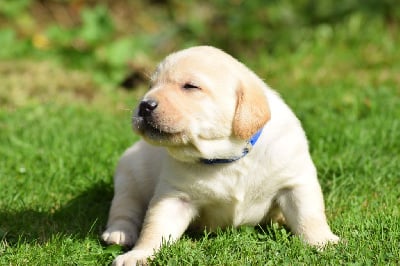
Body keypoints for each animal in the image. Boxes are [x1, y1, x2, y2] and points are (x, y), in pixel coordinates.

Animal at [101, 45, 340, 264]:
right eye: (151, 86)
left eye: (190, 86)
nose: (144, 105)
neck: (228, 157)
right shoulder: (175, 196)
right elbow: (154, 227)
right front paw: (139, 254)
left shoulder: (294, 181)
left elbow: (309, 216)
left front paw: (324, 242)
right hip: (128, 175)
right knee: (125, 207)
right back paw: (119, 233)